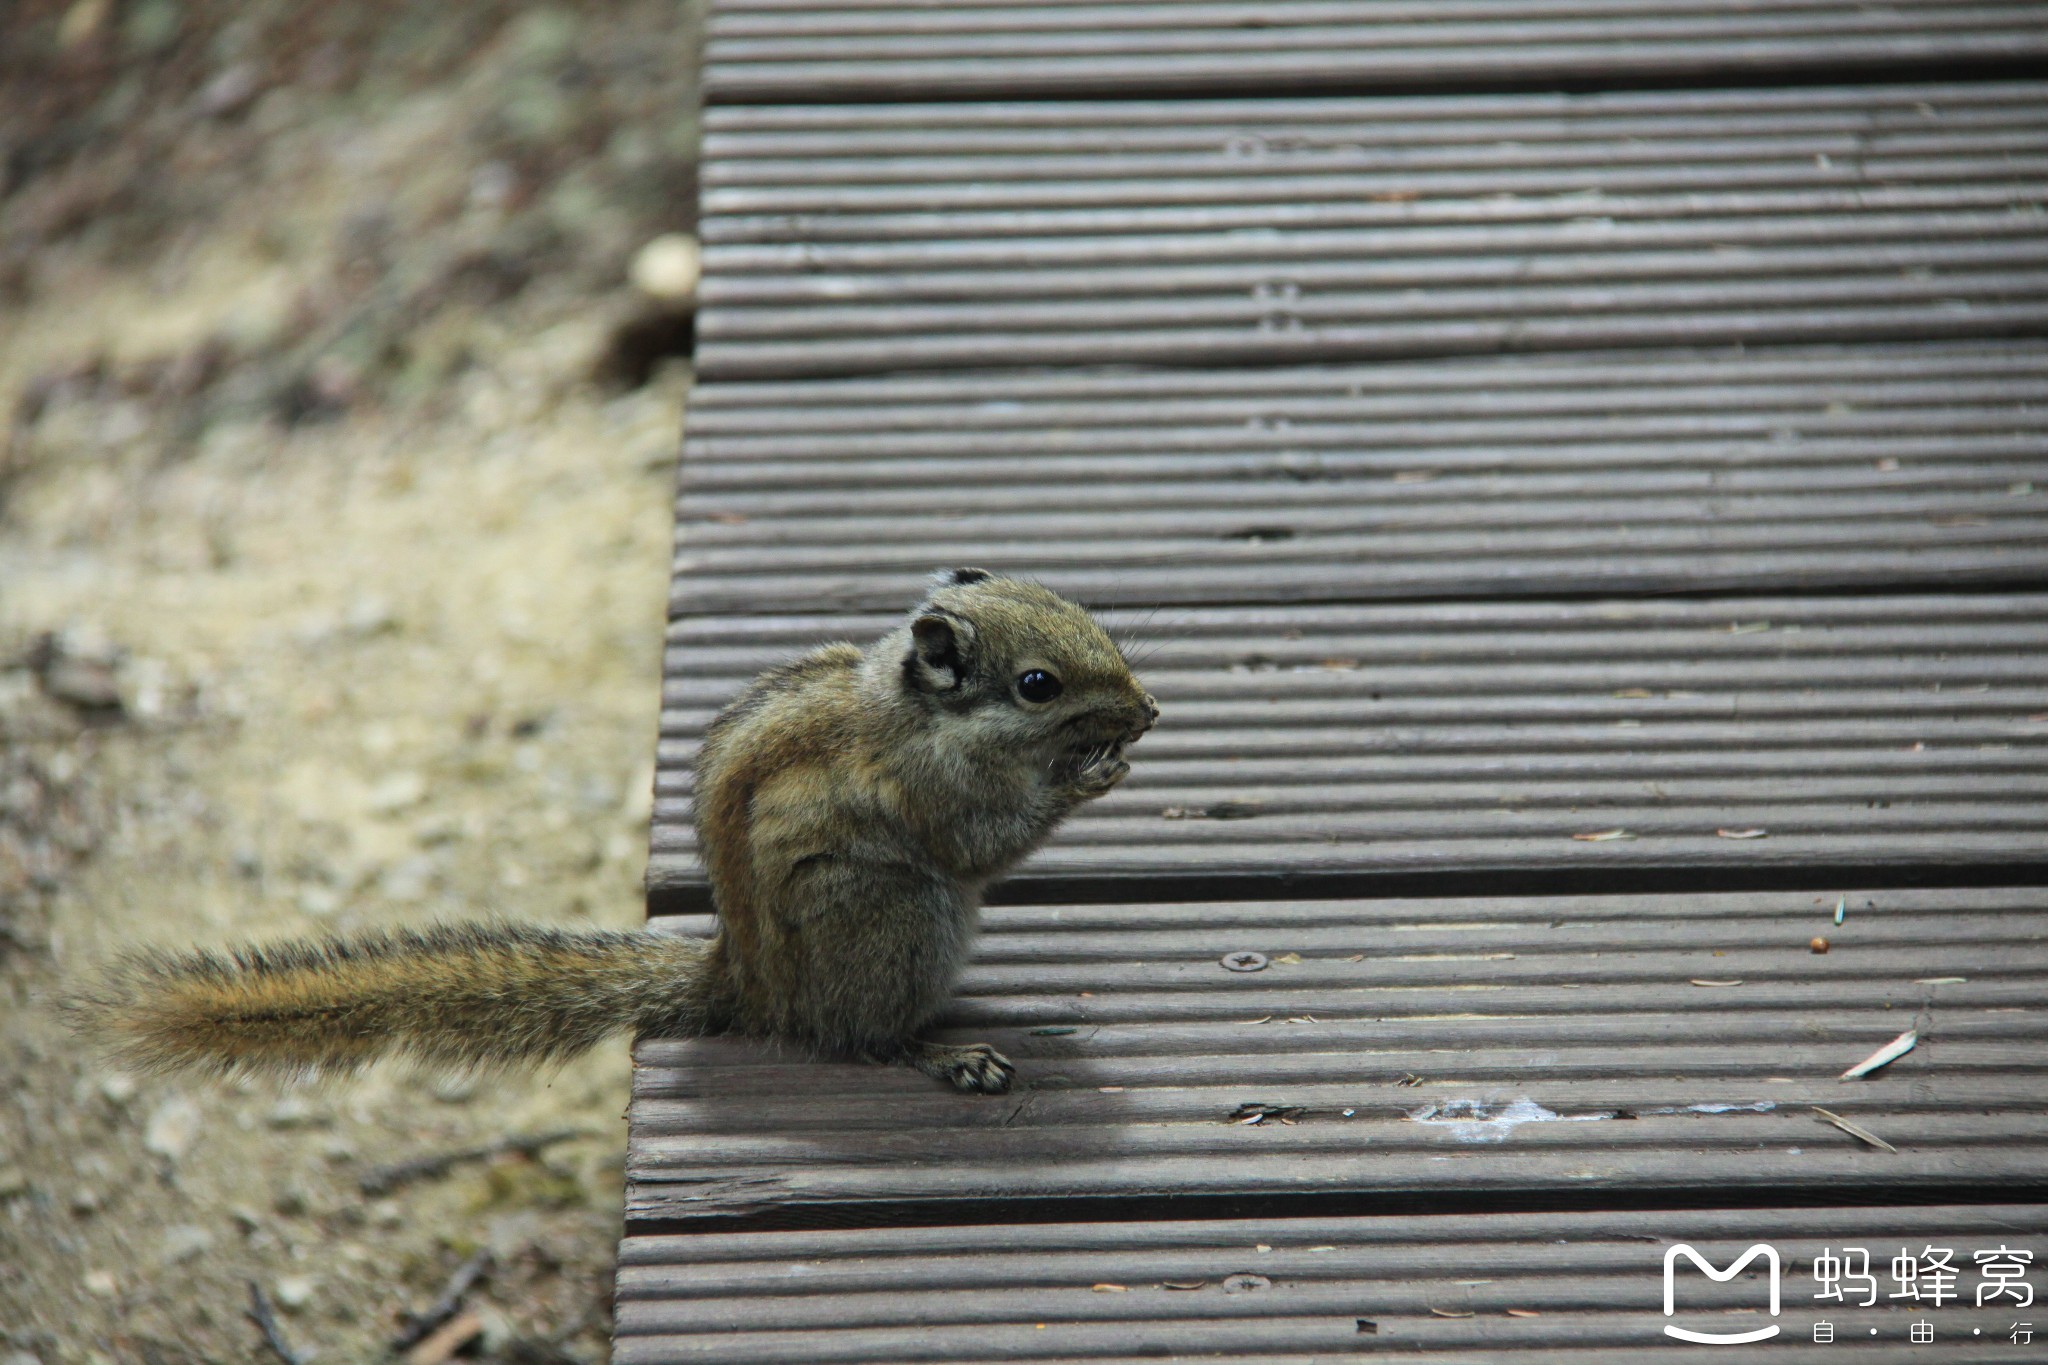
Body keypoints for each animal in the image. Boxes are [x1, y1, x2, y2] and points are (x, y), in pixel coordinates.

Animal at [68, 573, 1155, 1096]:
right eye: (1037, 685)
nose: (1146, 710)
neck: (911, 714)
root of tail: (747, 987)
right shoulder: (928, 789)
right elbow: (980, 844)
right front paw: (1087, 776)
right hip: (893, 913)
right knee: (852, 1039)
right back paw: (939, 1052)